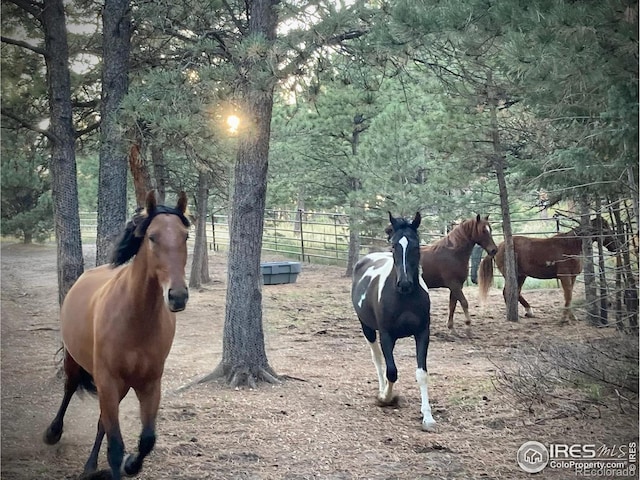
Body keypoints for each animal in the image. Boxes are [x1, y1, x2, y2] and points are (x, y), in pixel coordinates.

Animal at [43, 191, 190, 480]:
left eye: (185, 237)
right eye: (152, 237)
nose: (177, 296)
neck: (136, 321)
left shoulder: (149, 384)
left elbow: (147, 439)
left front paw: (131, 464)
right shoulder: (108, 380)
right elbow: (115, 445)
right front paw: (120, 464)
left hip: (118, 387)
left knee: (102, 421)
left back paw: (90, 466)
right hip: (76, 363)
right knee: (69, 389)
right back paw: (53, 433)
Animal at [350, 213, 436, 432]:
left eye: (415, 245)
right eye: (394, 246)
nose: (404, 284)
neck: (404, 299)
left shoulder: (422, 333)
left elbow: (422, 374)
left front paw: (428, 417)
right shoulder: (386, 335)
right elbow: (391, 371)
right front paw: (386, 398)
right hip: (368, 329)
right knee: (378, 360)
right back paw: (382, 391)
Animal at [478, 218, 616, 322]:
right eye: (606, 228)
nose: (615, 247)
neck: (570, 245)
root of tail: (499, 247)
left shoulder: (573, 276)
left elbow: (569, 295)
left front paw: (572, 317)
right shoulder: (564, 276)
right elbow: (568, 296)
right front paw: (564, 318)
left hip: (521, 275)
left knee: (515, 292)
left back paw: (528, 312)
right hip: (514, 275)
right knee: (508, 292)